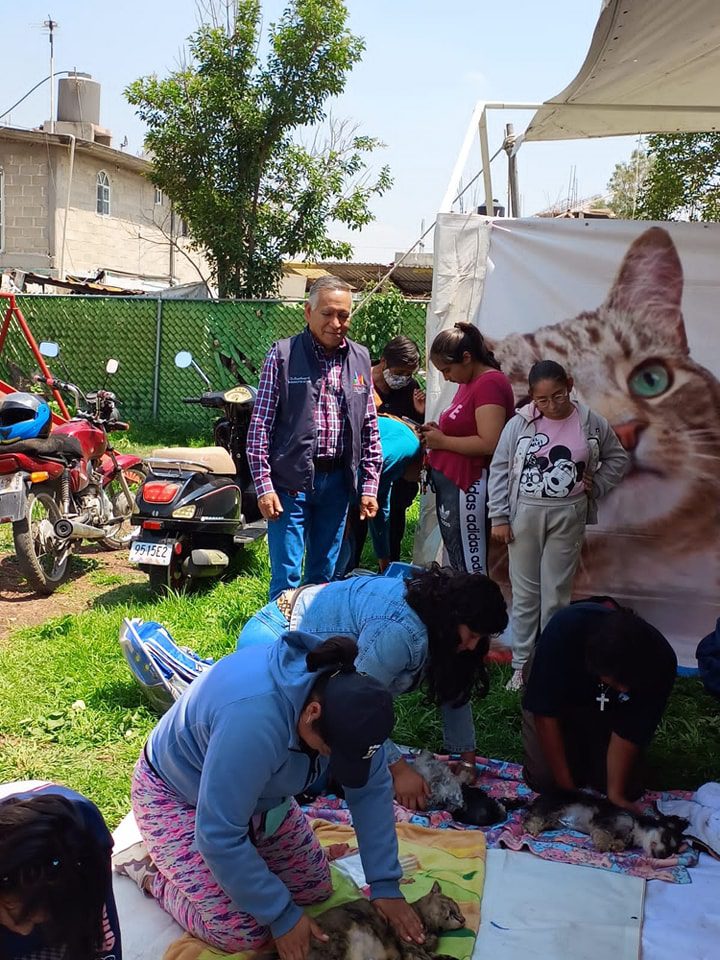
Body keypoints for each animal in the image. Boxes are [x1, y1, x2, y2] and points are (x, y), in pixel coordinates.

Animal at [306, 880, 466, 960]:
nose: (463, 919)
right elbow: (426, 957)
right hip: (338, 944)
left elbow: (439, 956)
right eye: (454, 907)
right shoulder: (410, 948)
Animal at [524, 792, 688, 860]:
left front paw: (616, 846)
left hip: (555, 819)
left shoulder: (624, 834)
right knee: (533, 818)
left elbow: (620, 841)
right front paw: (603, 845)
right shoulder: (606, 821)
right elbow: (604, 834)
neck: (635, 828)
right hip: (556, 806)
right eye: (666, 838)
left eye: (670, 853)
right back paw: (532, 828)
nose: (662, 856)